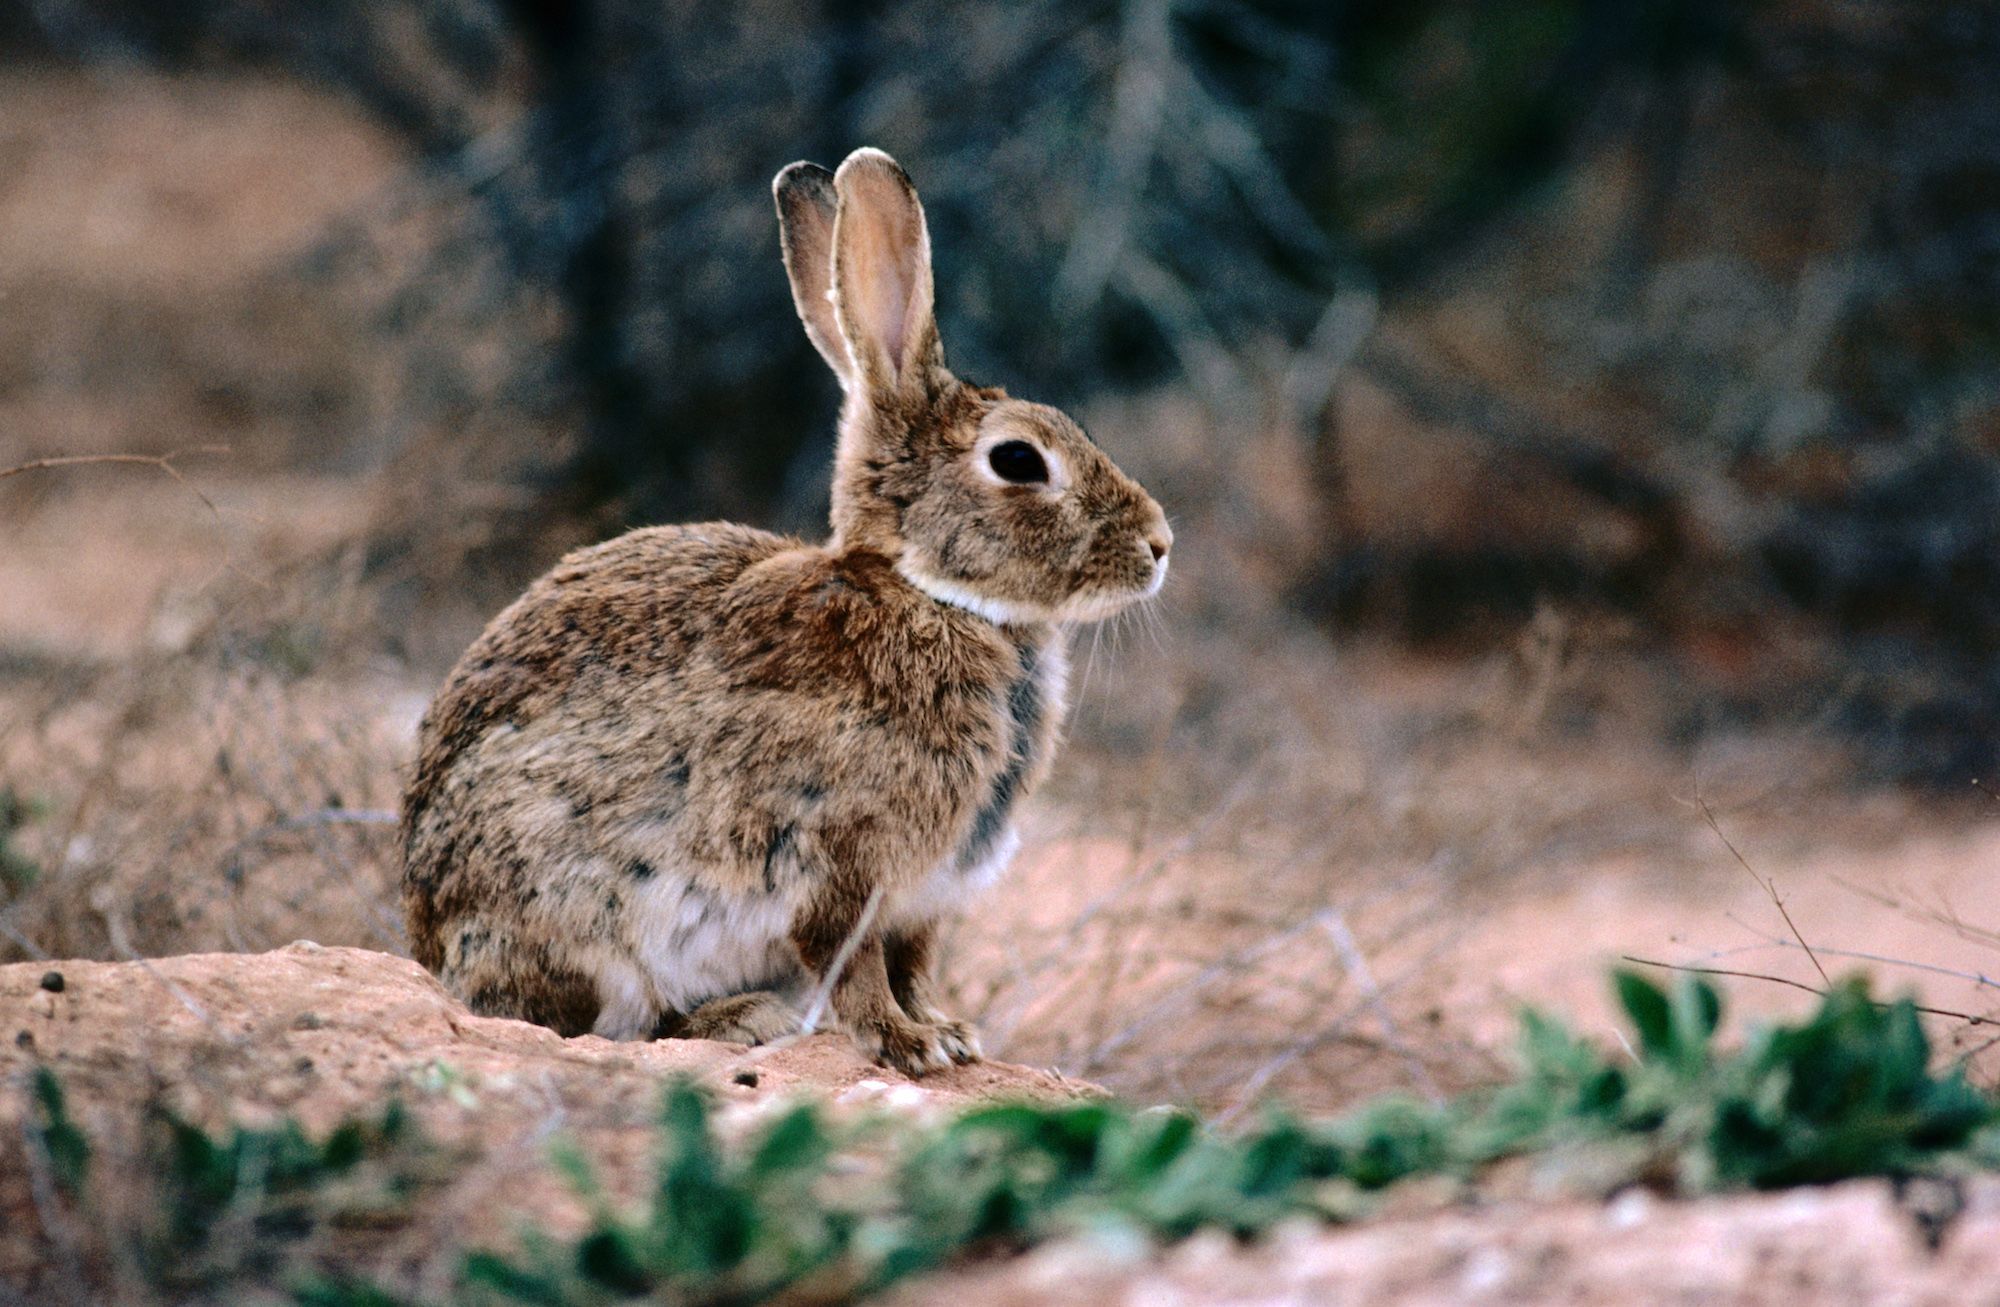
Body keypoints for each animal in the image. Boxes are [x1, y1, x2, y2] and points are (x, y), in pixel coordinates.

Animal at [398, 148, 1168, 1079]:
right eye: (1019, 460)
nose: (1161, 544)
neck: (930, 594)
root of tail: (433, 949)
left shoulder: (923, 897)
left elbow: (913, 964)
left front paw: (949, 1032)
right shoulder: (838, 862)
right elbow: (854, 963)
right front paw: (906, 1045)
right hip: (585, 918)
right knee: (606, 1023)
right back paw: (741, 1018)